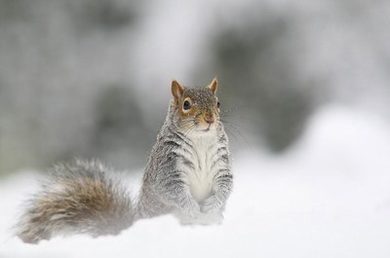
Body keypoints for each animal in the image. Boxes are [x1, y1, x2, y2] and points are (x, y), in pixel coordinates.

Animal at [16, 77, 232, 243]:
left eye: (218, 103)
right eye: (186, 104)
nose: (210, 119)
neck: (200, 140)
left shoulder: (221, 165)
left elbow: (226, 185)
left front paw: (214, 203)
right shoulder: (167, 168)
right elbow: (172, 190)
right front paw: (192, 208)